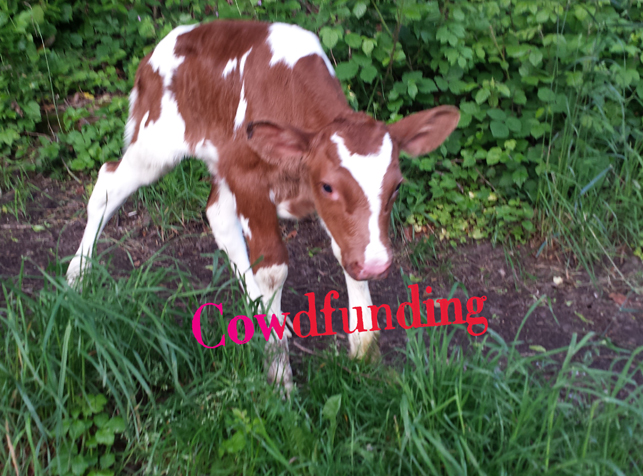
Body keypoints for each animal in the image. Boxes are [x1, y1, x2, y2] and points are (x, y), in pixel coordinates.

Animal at [67, 20, 460, 393]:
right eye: (328, 185)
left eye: (396, 186)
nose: (378, 265)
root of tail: (167, 43)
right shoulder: (249, 178)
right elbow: (273, 269)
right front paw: (280, 378)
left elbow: (344, 252)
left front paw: (365, 351)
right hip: (156, 144)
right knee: (107, 184)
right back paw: (76, 278)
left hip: (219, 160)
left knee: (217, 215)